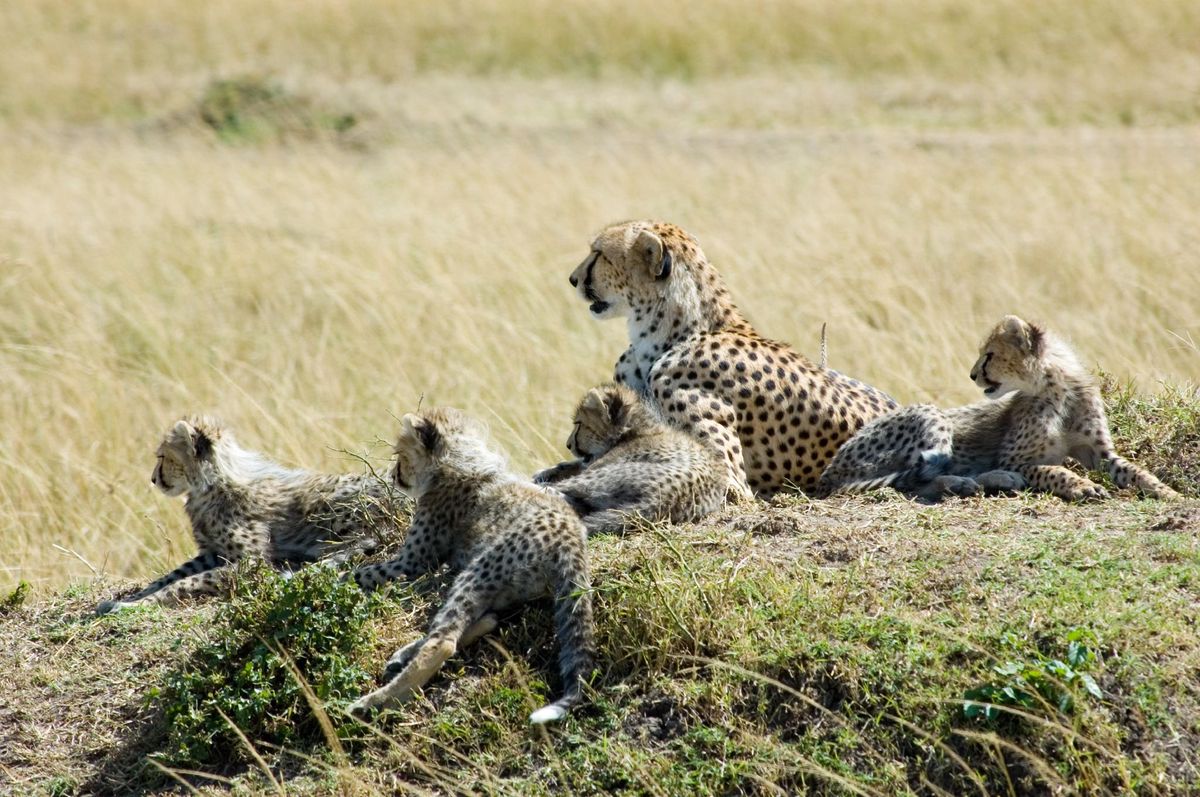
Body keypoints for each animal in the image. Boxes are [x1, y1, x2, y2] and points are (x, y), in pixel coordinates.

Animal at [95, 416, 403, 615]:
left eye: (162, 457)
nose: (153, 479)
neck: (211, 484)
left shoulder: (252, 561)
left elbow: (184, 582)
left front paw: (134, 604)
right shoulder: (212, 553)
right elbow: (170, 576)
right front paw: (130, 598)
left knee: (358, 542)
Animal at [349, 408, 595, 725]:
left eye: (400, 454)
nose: (393, 475)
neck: (455, 459)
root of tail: (572, 537)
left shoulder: (412, 562)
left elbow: (355, 573)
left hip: (479, 571)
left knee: (444, 642)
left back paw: (374, 702)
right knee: (484, 620)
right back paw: (401, 658)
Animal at [533, 382, 728, 534]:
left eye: (579, 424)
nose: (568, 445)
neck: (636, 429)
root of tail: (668, 499)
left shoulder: (597, 465)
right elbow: (571, 464)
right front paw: (545, 471)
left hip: (600, 476)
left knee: (556, 490)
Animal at [816, 315, 1179, 502]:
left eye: (989, 354)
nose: (972, 374)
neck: (1056, 389)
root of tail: (831, 468)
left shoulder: (1100, 453)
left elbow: (1135, 471)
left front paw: (1168, 492)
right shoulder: (1016, 458)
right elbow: (1051, 469)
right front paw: (1081, 485)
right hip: (930, 414)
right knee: (913, 480)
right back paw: (978, 481)